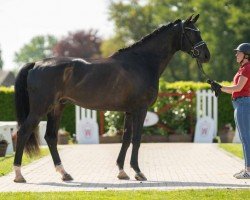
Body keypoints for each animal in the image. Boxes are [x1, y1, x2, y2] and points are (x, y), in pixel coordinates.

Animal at [12, 14, 210, 183]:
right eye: (191, 32)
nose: (206, 55)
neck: (142, 63)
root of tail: (36, 64)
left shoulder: (129, 111)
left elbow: (126, 138)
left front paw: (122, 171)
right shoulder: (140, 110)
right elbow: (136, 139)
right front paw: (138, 172)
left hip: (56, 108)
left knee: (51, 137)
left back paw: (64, 173)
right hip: (40, 109)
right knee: (23, 132)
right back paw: (19, 175)